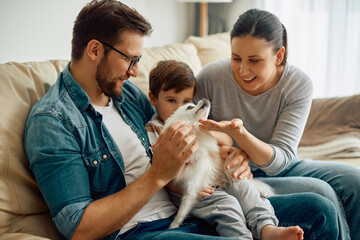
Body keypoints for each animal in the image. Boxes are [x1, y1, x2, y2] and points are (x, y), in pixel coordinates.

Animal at [162, 98, 274, 230]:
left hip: (231, 169)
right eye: (190, 107)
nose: (205, 99)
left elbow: (182, 211)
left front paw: (173, 226)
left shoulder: (193, 186)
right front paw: (173, 226)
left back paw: (263, 193)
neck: (197, 138)